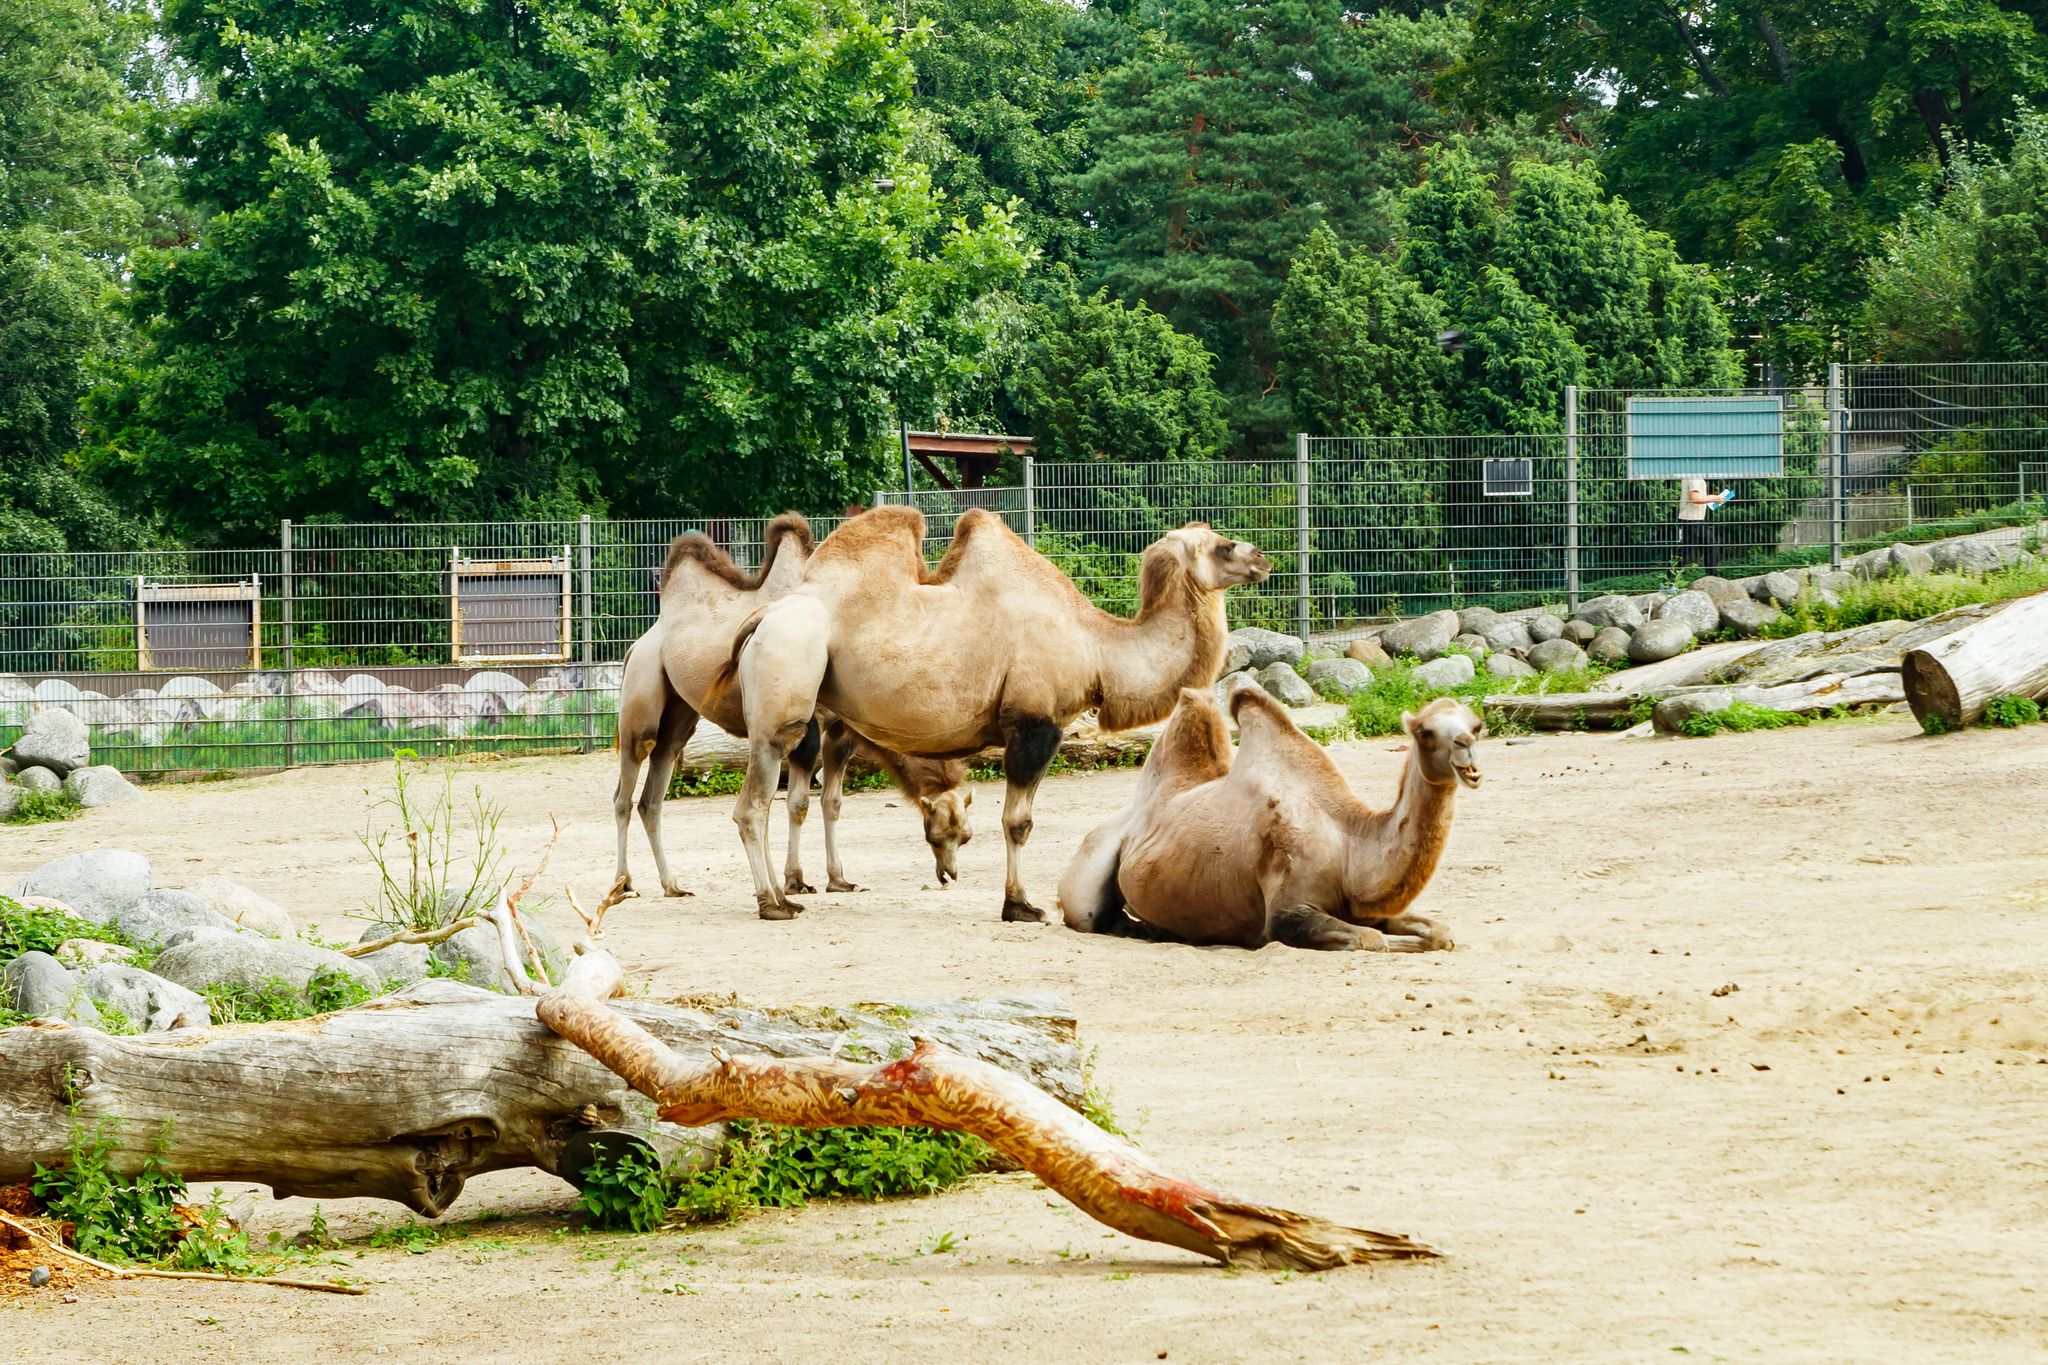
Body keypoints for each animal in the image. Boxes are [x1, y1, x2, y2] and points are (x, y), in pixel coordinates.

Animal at [613, 514, 972, 901]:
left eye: (965, 836)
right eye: (936, 834)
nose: (949, 875)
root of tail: (641, 641)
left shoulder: (840, 730)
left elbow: (831, 802)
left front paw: (838, 879)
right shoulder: (807, 725)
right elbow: (798, 803)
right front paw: (795, 880)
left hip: (679, 713)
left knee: (655, 789)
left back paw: (673, 885)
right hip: (642, 689)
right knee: (627, 786)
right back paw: (623, 885)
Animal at [715, 505, 1271, 921]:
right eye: (1223, 545)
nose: (1263, 559)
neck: (1097, 647)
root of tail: (762, 618)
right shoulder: (1034, 725)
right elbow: (1018, 822)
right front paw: (1020, 906)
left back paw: (788, 893)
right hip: (785, 688)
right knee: (755, 804)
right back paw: (774, 902)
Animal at [1056, 684, 1481, 951]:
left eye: (1475, 724)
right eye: (1425, 732)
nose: (1467, 748)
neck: (1347, 844)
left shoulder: (1365, 906)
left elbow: (1439, 932)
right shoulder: (1287, 909)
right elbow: (1370, 940)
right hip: (1084, 890)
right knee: (1096, 917)